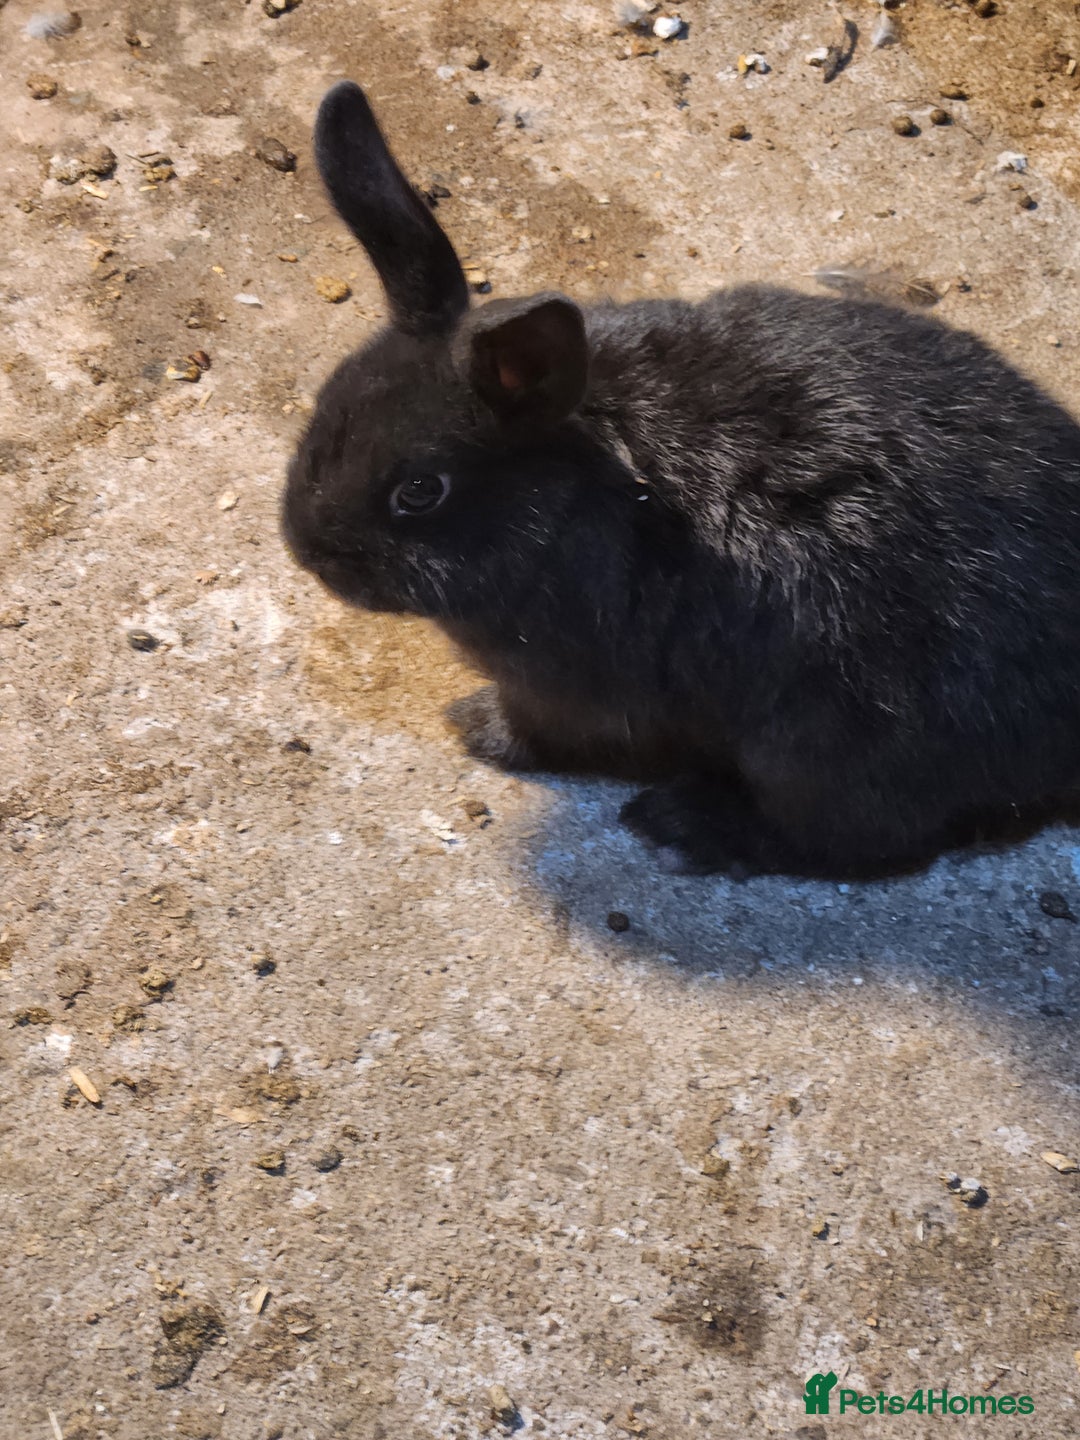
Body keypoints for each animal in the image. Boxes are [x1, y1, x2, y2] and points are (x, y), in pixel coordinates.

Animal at [282, 80, 1080, 878]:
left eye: (420, 492)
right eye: (326, 411)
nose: (307, 552)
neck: (577, 491)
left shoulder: (564, 693)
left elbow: (541, 733)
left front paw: (473, 726)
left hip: (823, 754)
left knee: (856, 843)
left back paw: (685, 820)